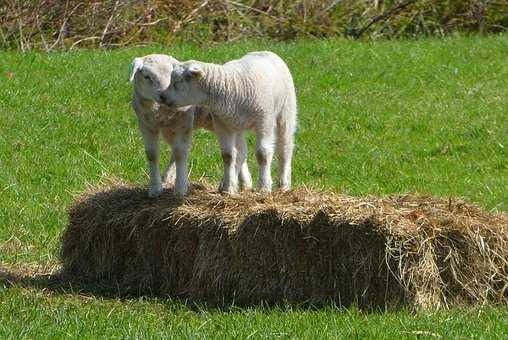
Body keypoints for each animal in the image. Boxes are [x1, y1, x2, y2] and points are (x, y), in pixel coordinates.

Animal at [129, 53, 252, 199]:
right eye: (147, 77)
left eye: (172, 76)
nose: (162, 95)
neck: (160, 110)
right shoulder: (146, 125)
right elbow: (152, 154)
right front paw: (155, 188)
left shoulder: (184, 124)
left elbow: (180, 153)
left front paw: (180, 189)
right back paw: (244, 183)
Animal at [163, 51, 298, 194]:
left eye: (177, 82)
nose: (163, 97)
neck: (230, 87)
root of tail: (266, 52)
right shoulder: (222, 124)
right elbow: (228, 156)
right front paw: (228, 187)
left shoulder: (264, 121)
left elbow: (262, 154)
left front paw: (263, 187)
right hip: (236, 125)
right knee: (241, 153)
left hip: (286, 111)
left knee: (285, 147)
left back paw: (284, 184)